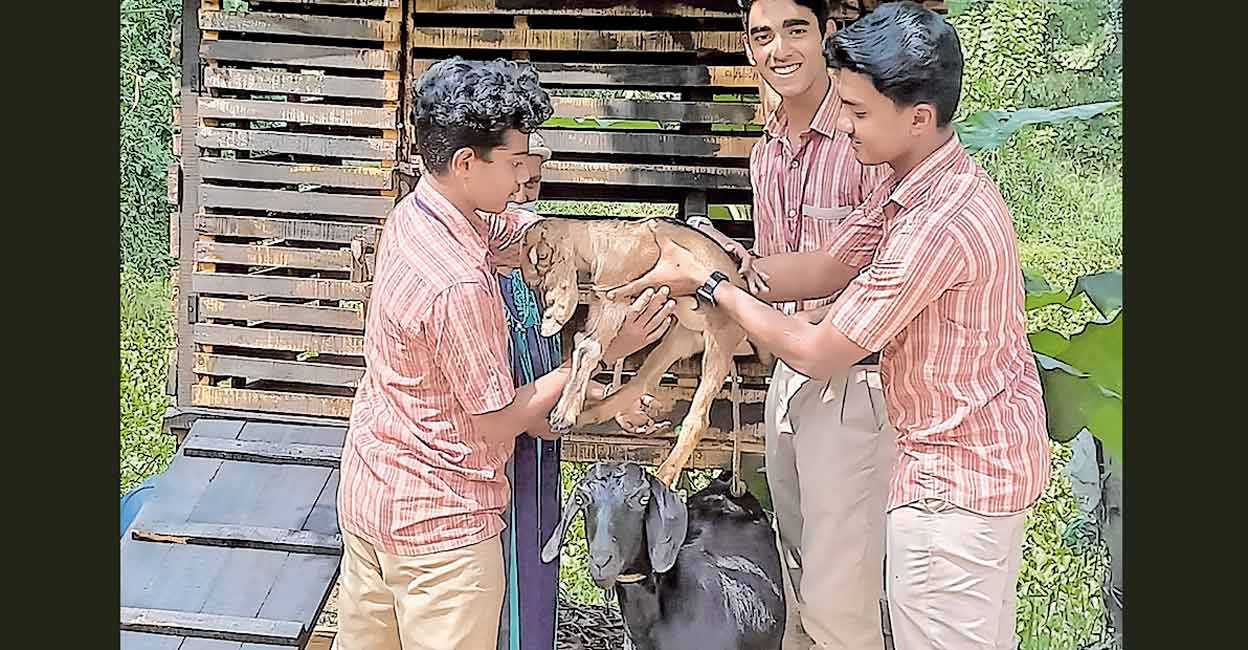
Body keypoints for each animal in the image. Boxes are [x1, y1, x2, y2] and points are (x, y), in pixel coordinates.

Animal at [513, 216, 770, 487]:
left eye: (539, 256)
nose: (529, 282)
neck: (604, 245)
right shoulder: (602, 303)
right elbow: (583, 342)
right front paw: (566, 411)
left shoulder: (615, 299)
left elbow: (589, 348)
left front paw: (564, 413)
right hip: (678, 339)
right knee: (640, 383)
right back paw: (589, 415)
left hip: (720, 338)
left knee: (697, 418)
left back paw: (664, 476)